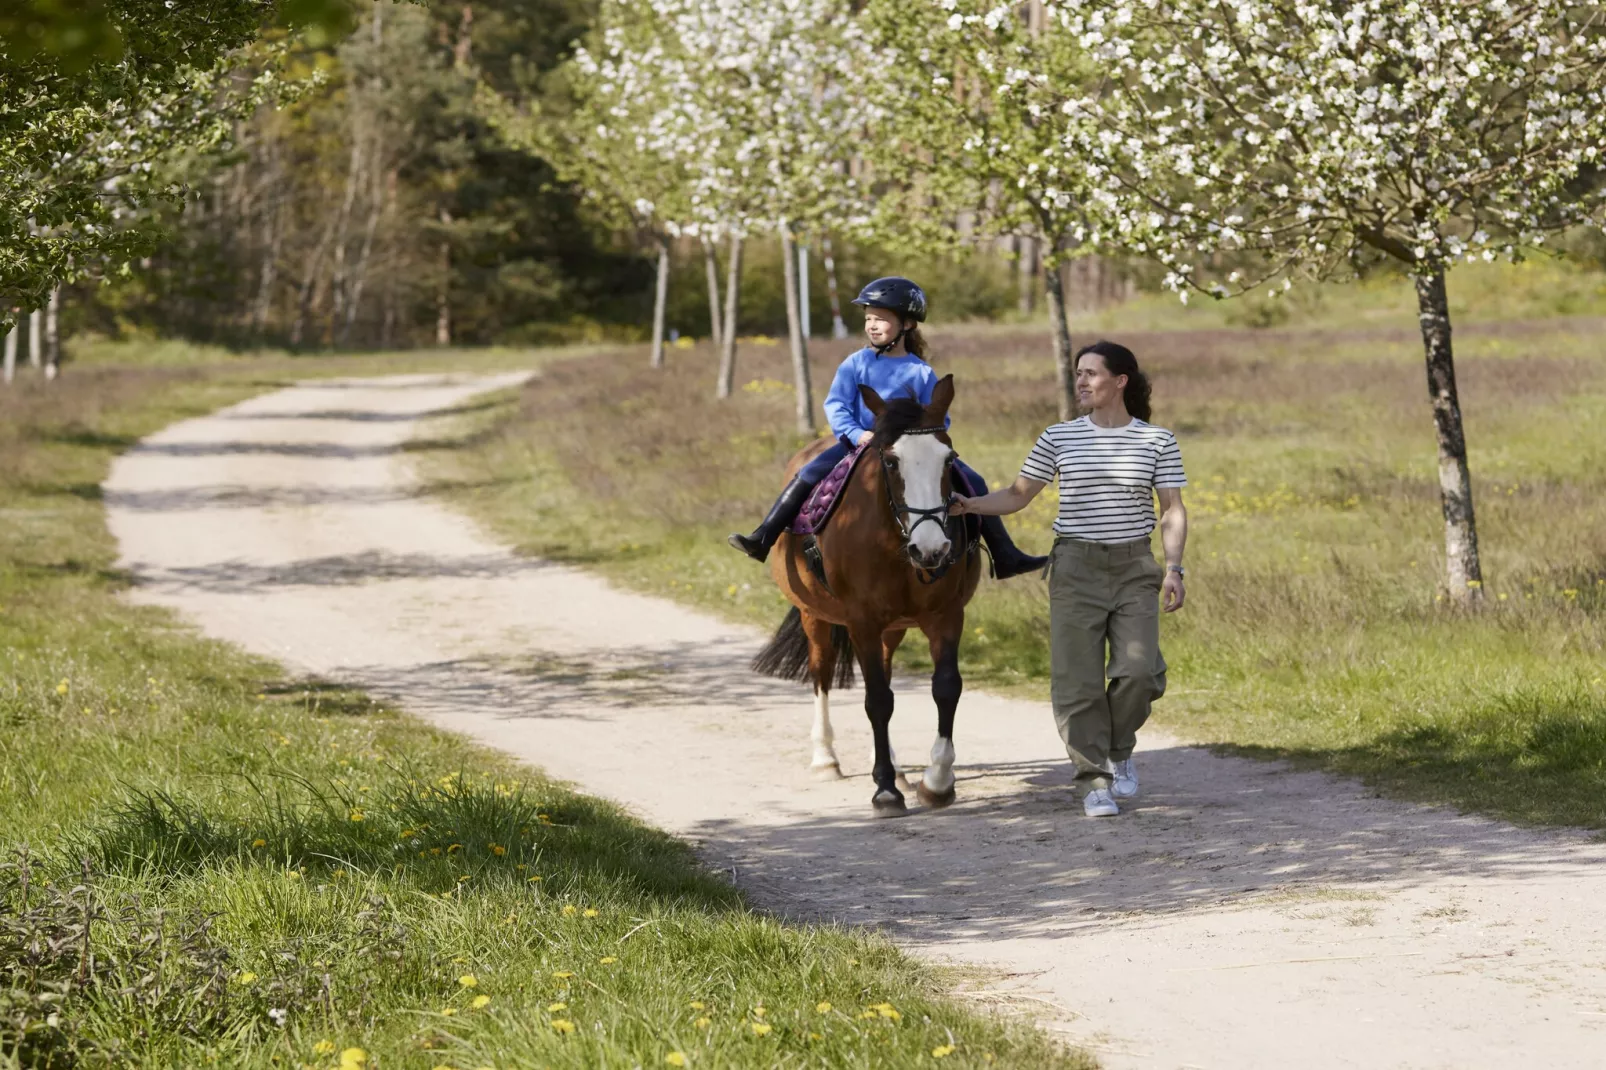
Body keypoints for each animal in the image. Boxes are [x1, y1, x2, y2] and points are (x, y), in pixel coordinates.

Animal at [748, 372, 976, 809]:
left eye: (949, 459)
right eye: (890, 461)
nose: (931, 550)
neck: (896, 543)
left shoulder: (945, 615)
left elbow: (945, 688)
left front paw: (936, 782)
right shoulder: (861, 621)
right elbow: (876, 701)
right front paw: (885, 790)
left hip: (892, 628)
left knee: (883, 675)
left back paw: (896, 767)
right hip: (815, 616)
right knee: (821, 673)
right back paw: (826, 759)